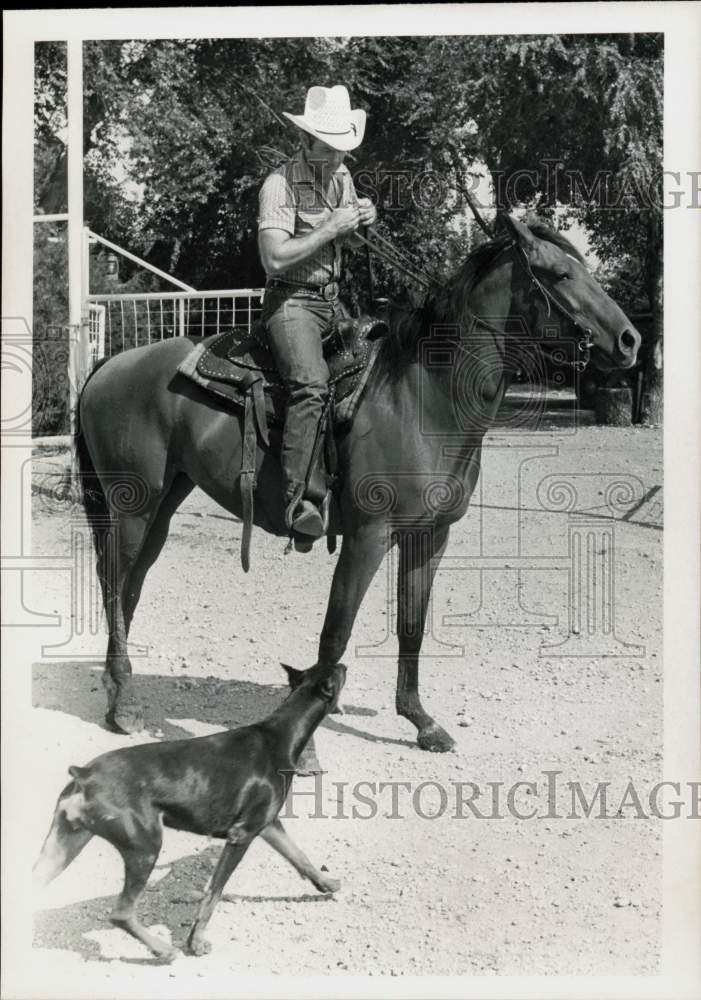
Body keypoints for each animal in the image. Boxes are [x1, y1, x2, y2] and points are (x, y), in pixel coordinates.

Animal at [34, 664, 346, 960]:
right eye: (337, 671)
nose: (345, 665)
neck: (279, 735)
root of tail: (84, 775)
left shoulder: (267, 825)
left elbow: (299, 856)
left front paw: (327, 883)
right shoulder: (241, 835)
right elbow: (213, 894)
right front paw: (195, 942)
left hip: (63, 847)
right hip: (144, 848)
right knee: (121, 913)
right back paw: (162, 950)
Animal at [74, 215, 636, 760]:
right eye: (561, 275)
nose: (629, 340)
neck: (423, 398)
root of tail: (109, 365)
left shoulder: (429, 536)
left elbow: (411, 625)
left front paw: (422, 722)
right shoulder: (368, 536)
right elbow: (336, 632)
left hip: (163, 506)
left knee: (127, 588)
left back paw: (118, 689)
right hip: (133, 508)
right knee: (114, 585)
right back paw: (123, 705)